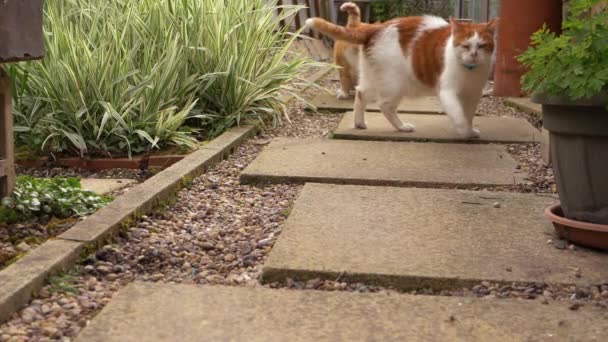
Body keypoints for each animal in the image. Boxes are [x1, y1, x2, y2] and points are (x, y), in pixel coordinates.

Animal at [306, 3, 496, 138]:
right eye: (465, 45)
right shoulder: (447, 91)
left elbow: (468, 115)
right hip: (395, 84)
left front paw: (470, 130)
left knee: (361, 94)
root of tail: (376, 27)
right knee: (384, 105)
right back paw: (402, 126)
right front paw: (464, 131)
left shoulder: (473, 94)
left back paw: (359, 123)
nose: (473, 55)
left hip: (373, 77)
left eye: (482, 46)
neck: (469, 72)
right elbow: (459, 114)